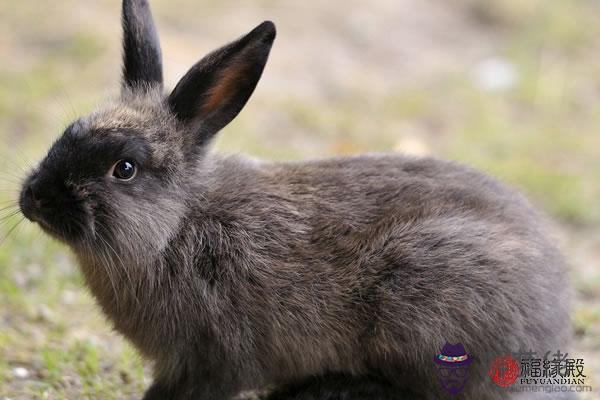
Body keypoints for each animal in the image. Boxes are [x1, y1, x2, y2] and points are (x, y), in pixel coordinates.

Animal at [17, 0, 572, 400]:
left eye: (125, 168)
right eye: (67, 132)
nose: (32, 200)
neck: (176, 227)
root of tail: (552, 322)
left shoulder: (210, 357)